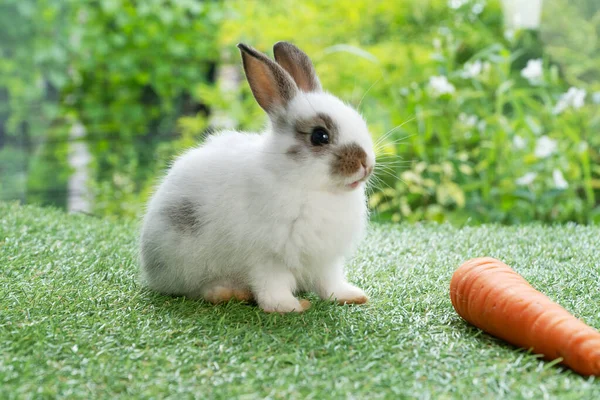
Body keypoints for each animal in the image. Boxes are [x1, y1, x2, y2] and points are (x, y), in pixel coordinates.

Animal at [140, 42, 376, 314]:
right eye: (320, 136)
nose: (366, 164)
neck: (309, 187)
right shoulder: (268, 258)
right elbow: (272, 286)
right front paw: (290, 307)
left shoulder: (324, 259)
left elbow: (330, 283)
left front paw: (352, 296)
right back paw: (228, 293)